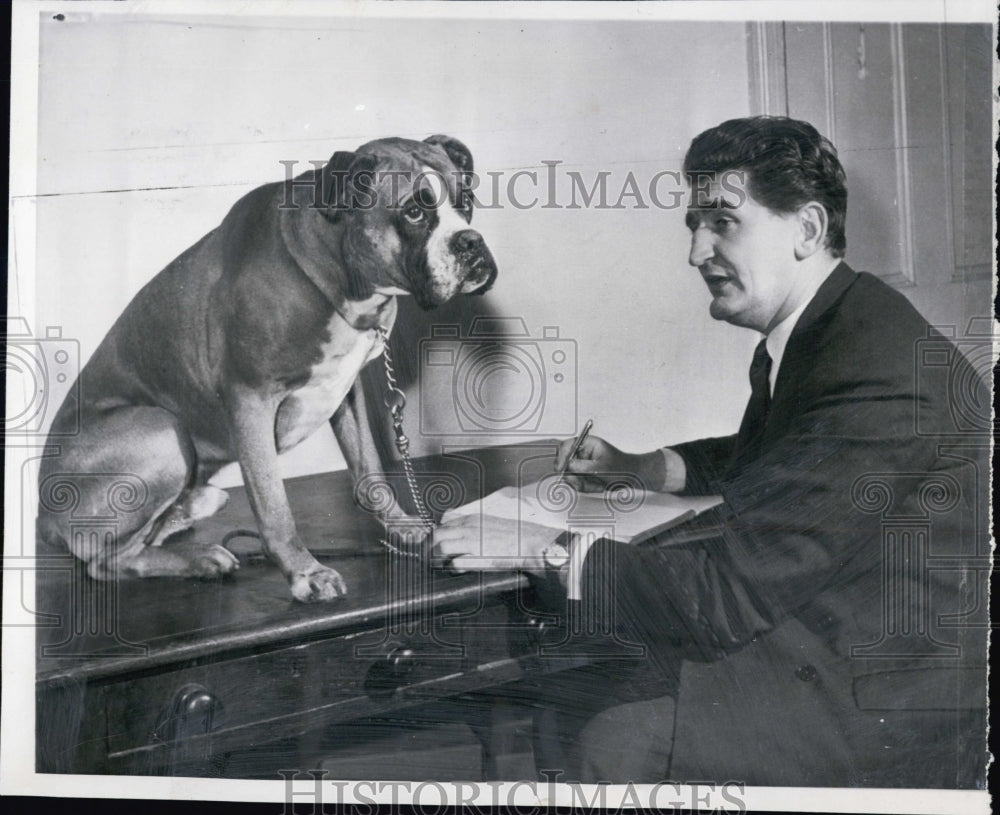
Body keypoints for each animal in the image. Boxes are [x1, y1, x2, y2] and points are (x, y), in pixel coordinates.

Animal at [37, 137, 498, 604]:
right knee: (106, 561)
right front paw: (304, 572)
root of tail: (43, 521)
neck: (333, 277)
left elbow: (369, 470)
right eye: (414, 212)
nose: (472, 242)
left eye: (467, 202)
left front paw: (398, 523)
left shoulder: (347, 392)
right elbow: (274, 507)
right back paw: (201, 557)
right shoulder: (250, 399)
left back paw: (188, 511)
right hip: (160, 429)